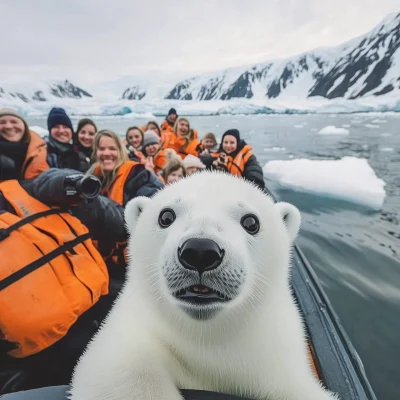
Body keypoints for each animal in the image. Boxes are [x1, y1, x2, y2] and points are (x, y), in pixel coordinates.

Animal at [69, 170, 338, 398]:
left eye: (251, 221)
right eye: (166, 215)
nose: (200, 251)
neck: (209, 345)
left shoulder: (278, 362)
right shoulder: (134, 335)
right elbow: (125, 375)